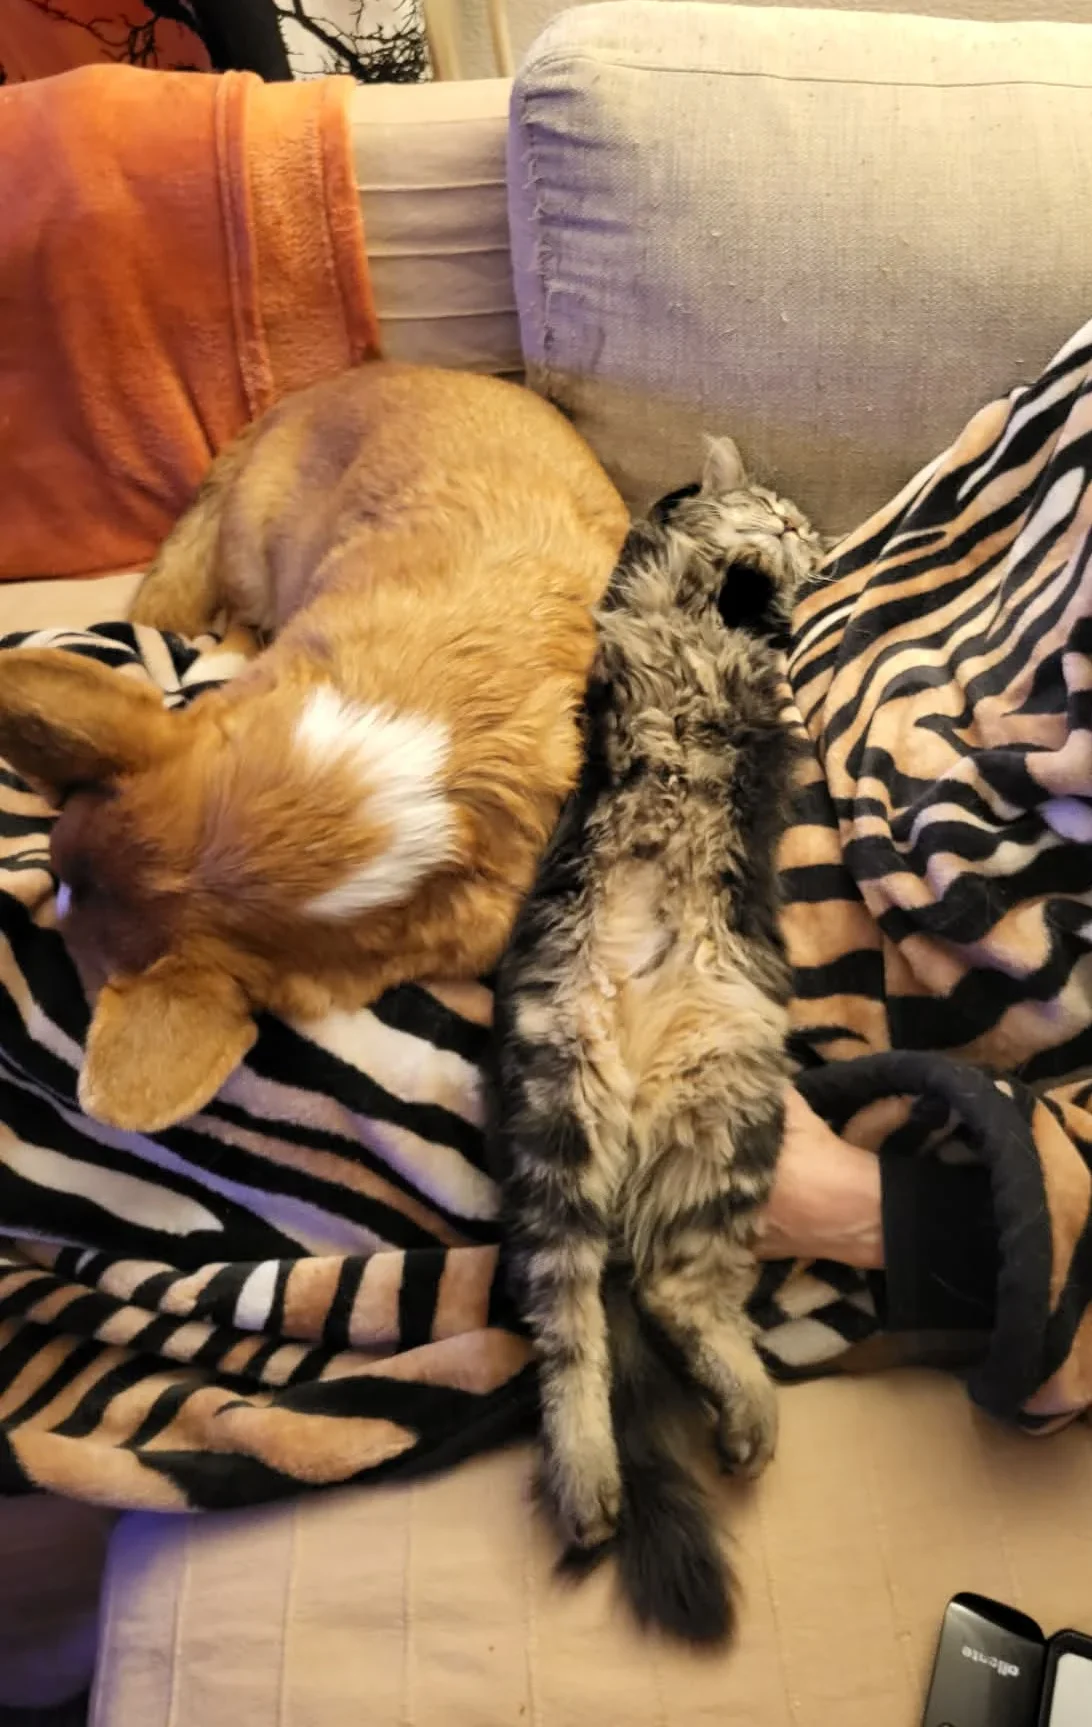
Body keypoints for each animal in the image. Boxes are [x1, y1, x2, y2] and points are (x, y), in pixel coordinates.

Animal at [490, 439, 826, 1643]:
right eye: (774, 501)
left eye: (802, 517)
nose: (800, 529)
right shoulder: (637, 612)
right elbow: (675, 575)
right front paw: (736, 560)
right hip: (560, 1122)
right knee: (575, 1326)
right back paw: (589, 1479)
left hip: (729, 1101)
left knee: (676, 1296)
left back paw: (742, 1415)